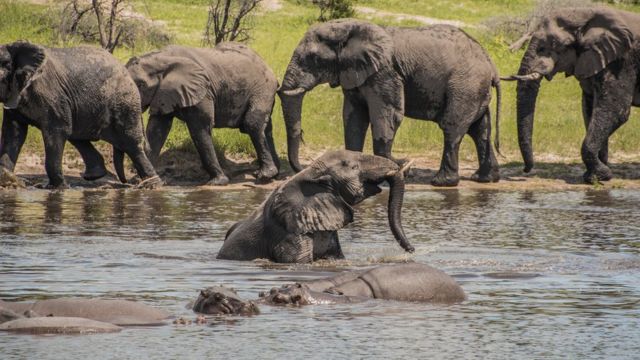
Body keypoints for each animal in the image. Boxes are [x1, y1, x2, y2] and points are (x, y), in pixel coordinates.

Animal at [0, 40, 160, 188]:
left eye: (4, 67)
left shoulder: (52, 95)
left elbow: (57, 130)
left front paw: (57, 188)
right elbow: (13, 133)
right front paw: (7, 180)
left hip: (125, 102)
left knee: (131, 144)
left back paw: (152, 185)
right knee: (77, 137)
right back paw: (94, 175)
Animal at [127, 43, 280, 186]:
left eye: (141, 85)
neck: (161, 58)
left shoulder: (202, 91)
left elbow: (199, 129)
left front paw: (217, 182)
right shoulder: (162, 93)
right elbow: (157, 131)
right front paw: (143, 182)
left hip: (263, 90)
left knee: (252, 124)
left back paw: (265, 175)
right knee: (266, 129)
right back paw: (274, 174)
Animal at [280, 19, 504, 188]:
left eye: (313, 58)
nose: (301, 169)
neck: (350, 29)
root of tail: (491, 65)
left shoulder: (384, 72)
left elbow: (387, 114)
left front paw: (398, 168)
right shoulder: (353, 73)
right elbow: (354, 118)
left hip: (466, 86)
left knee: (452, 127)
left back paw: (441, 182)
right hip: (476, 89)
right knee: (480, 129)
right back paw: (484, 179)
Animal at [504, 7, 640, 184]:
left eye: (547, 47)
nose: (525, 170)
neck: (587, 16)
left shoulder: (622, 63)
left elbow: (616, 111)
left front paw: (601, 175)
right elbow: (590, 110)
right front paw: (594, 177)